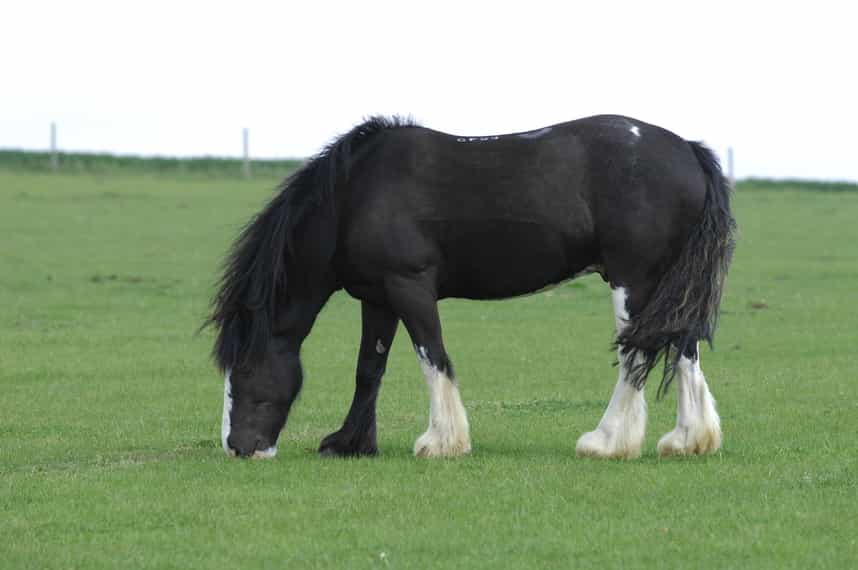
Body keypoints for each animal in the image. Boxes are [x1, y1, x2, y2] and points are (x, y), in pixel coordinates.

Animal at [204, 114, 732, 458]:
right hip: (669, 285)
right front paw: (349, 443)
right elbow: (368, 369)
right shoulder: (377, 298)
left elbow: (432, 356)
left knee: (636, 355)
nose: (237, 447)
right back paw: (688, 440)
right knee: (683, 349)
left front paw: (442, 442)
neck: (356, 194)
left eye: (244, 371)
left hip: (634, 282)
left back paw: (607, 442)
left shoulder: (409, 285)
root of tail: (687, 149)